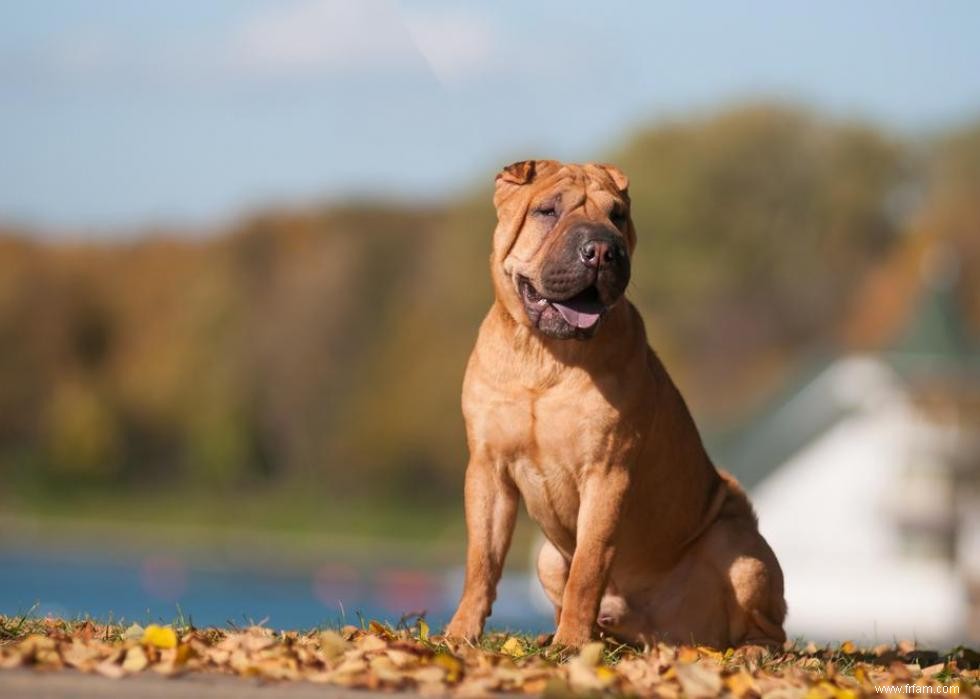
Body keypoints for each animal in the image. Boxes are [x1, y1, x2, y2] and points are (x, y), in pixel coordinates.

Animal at [446, 160, 788, 652]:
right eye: (547, 211)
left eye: (617, 216)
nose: (602, 250)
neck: (544, 354)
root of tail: (659, 635)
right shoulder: (488, 468)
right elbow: (482, 562)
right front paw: (460, 633)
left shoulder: (606, 472)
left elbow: (589, 566)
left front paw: (572, 642)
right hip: (547, 558)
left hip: (740, 551)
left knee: (771, 628)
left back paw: (749, 650)